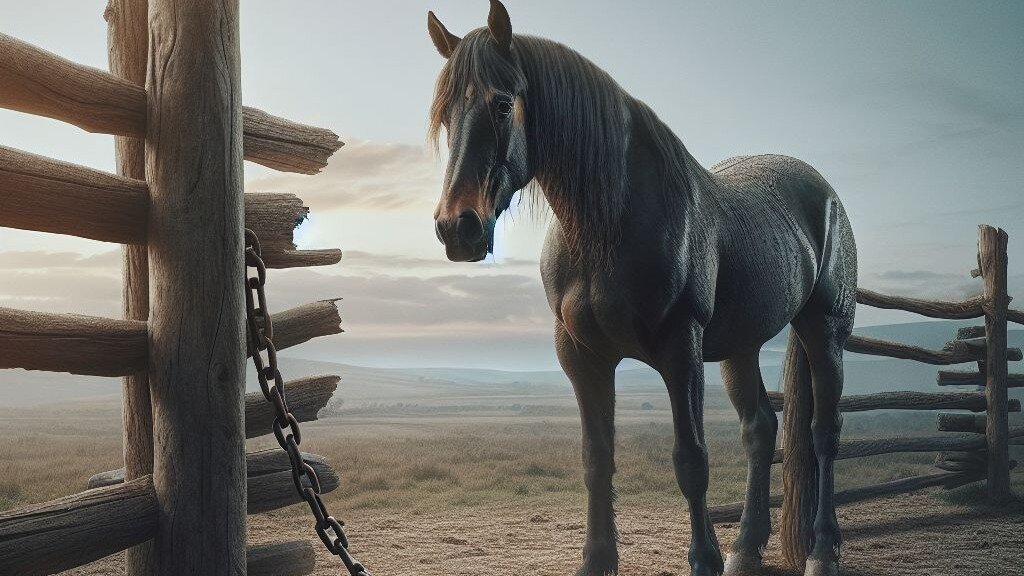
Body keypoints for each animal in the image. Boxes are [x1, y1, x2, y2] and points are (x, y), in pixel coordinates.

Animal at [426, 2, 857, 575]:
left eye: (500, 105)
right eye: (445, 115)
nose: (458, 228)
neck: (611, 224)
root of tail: (822, 190)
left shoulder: (681, 351)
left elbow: (691, 461)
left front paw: (703, 560)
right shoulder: (582, 357)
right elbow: (596, 459)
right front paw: (596, 560)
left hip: (822, 331)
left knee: (824, 434)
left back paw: (822, 551)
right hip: (740, 348)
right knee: (760, 430)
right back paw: (745, 549)